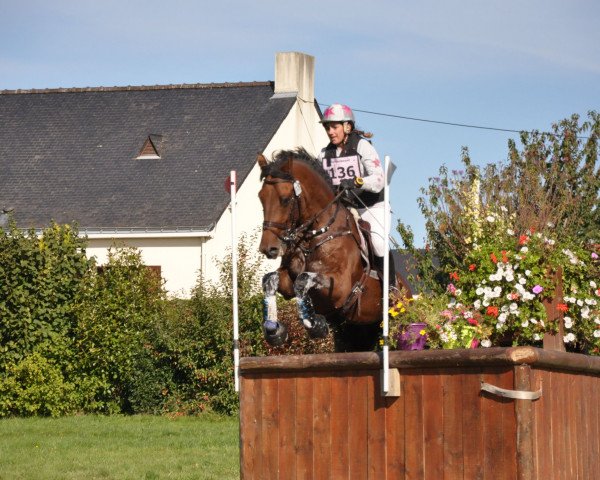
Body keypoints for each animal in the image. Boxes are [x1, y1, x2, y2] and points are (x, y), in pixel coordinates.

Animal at [258, 148, 408, 350]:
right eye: (261, 198)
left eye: (285, 199)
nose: (268, 249)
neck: (313, 235)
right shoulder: (288, 280)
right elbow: (270, 280)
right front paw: (274, 331)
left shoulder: (340, 288)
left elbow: (303, 280)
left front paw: (315, 325)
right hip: (357, 333)